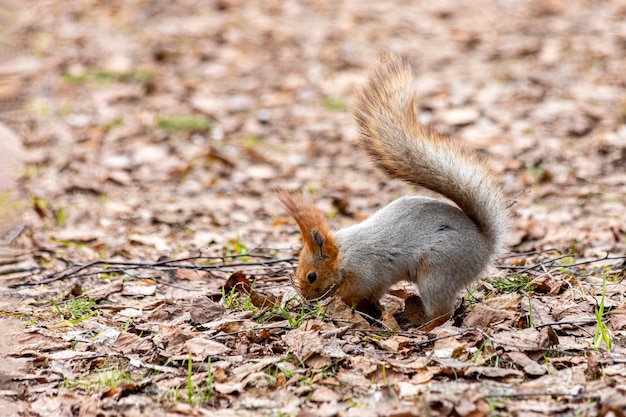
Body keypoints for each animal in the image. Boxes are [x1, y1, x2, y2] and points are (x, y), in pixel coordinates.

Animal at [278, 53, 508, 328]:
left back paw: (425, 327)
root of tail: (484, 246)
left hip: (439, 272)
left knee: (443, 313)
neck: (344, 255)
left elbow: (355, 293)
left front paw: (338, 304)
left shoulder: (366, 273)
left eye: (312, 275)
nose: (304, 297)